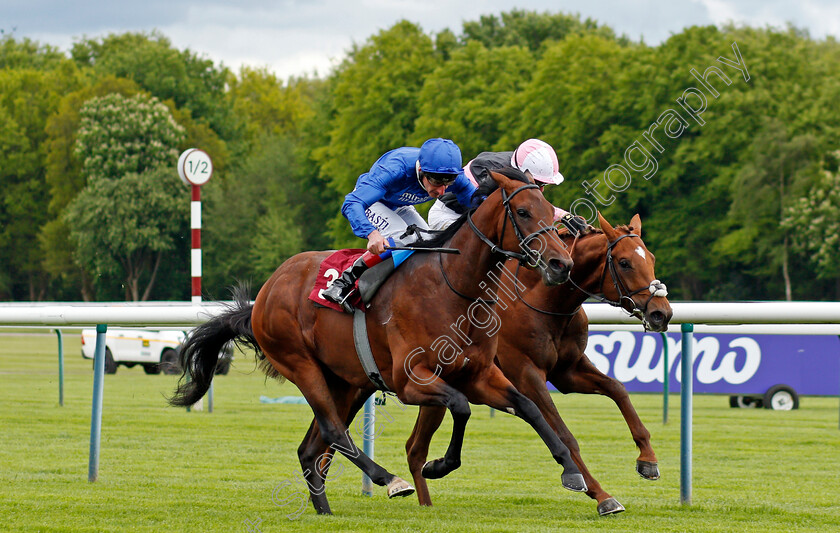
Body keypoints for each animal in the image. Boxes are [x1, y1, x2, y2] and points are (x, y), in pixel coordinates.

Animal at [171, 169, 592, 516]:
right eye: (522, 211)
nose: (561, 265)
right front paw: (436, 466)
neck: (454, 286)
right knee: (333, 432)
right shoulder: (411, 381)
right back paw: (390, 480)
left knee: (312, 447)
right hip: (301, 365)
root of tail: (266, 291)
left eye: (548, 209)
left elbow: (529, 408)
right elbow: (460, 406)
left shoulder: (480, 374)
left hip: (345, 382)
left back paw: (325, 511)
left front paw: (572, 473)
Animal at [404, 213, 672, 516]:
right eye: (625, 262)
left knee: (414, 448)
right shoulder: (526, 374)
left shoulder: (568, 370)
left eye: (650, 258)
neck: (544, 299)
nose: (661, 313)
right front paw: (601, 494)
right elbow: (564, 435)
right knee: (415, 448)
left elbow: (618, 390)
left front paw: (648, 459)